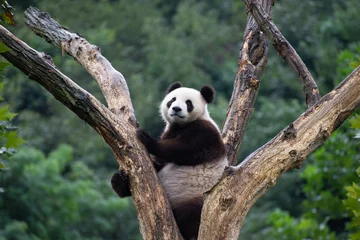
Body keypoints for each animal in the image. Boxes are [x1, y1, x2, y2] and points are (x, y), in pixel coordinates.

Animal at [111, 81, 228, 239]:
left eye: (188, 103)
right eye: (172, 99)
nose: (176, 109)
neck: (180, 125)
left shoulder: (206, 134)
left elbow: (185, 150)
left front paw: (147, 138)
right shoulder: (171, 131)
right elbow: (156, 165)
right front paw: (121, 179)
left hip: (195, 196)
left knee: (191, 214)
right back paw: (118, 180)